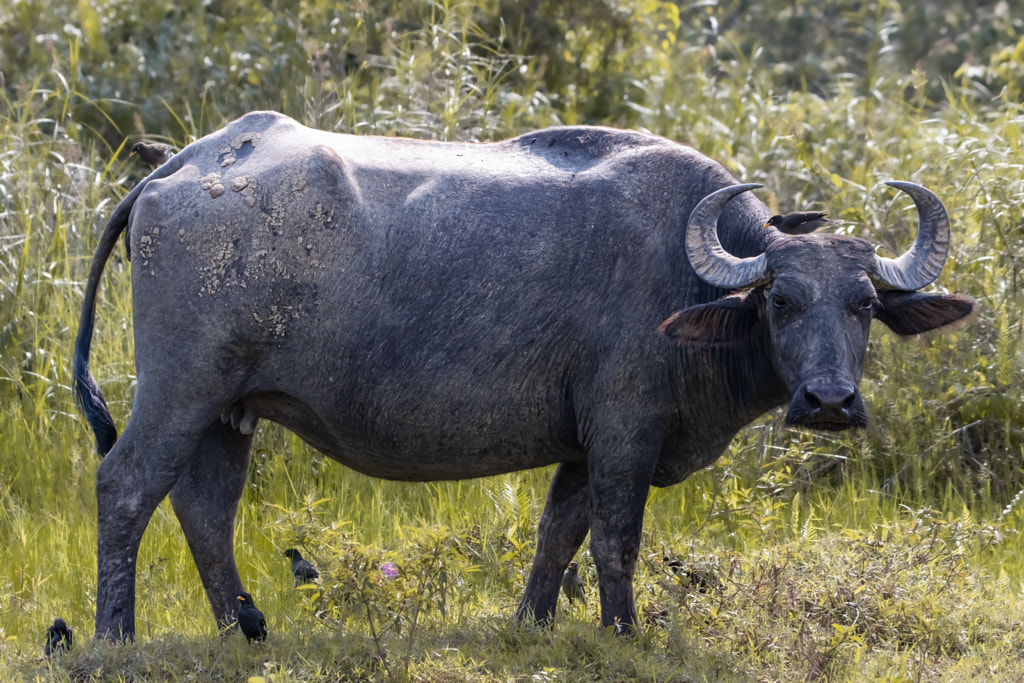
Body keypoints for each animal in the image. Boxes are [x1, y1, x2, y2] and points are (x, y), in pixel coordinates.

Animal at [75, 112, 970, 643]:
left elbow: (558, 531)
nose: (829, 401)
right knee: (126, 485)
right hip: (181, 390)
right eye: (781, 300)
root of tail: (181, 166)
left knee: (204, 509)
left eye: (862, 303)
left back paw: (244, 629)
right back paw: (115, 633)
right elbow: (615, 537)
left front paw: (531, 621)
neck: (688, 283)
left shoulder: (581, 443)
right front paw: (622, 632)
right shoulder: (625, 430)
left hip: (229, 409)